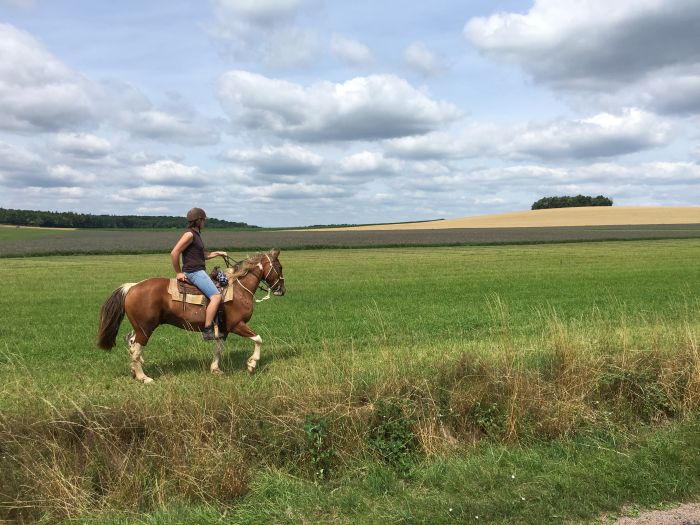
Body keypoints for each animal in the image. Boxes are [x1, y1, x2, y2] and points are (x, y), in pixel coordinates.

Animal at [95, 248, 284, 382]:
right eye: (280, 267)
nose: (282, 290)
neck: (237, 289)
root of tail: (132, 286)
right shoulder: (237, 324)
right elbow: (258, 339)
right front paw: (252, 364)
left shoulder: (223, 330)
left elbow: (218, 349)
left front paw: (215, 369)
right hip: (146, 328)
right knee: (135, 348)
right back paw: (144, 377)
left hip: (141, 327)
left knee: (131, 340)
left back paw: (135, 370)